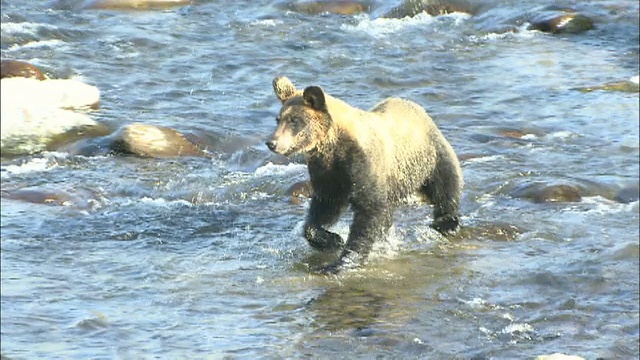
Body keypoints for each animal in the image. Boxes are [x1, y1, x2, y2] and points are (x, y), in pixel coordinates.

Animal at [262, 76, 462, 272]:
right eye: (278, 119)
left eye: (294, 120)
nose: (271, 142)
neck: (333, 148)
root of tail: (417, 108)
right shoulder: (328, 174)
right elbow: (324, 207)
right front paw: (332, 240)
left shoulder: (362, 166)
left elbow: (368, 210)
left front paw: (342, 261)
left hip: (429, 156)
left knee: (445, 186)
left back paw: (446, 222)